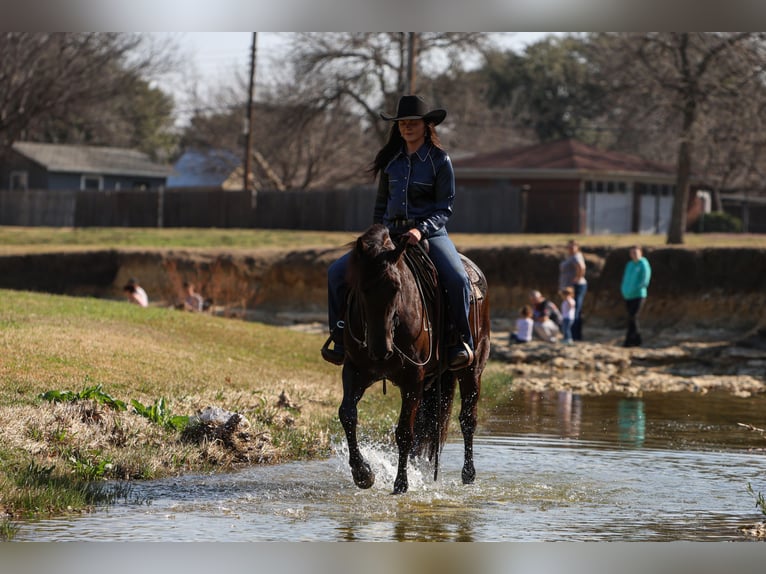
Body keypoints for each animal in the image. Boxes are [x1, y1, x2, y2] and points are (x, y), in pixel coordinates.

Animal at [338, 225, 492, 496]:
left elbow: (404, 432)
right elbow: (347, 415)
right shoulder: (355, 370)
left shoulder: (413, 379)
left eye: (396, 287)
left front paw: (401, 483)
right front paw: (363, 474)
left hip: (472, 370)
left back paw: (468, 475)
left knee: (467, 419)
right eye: (361, 287)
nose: (381, 349)